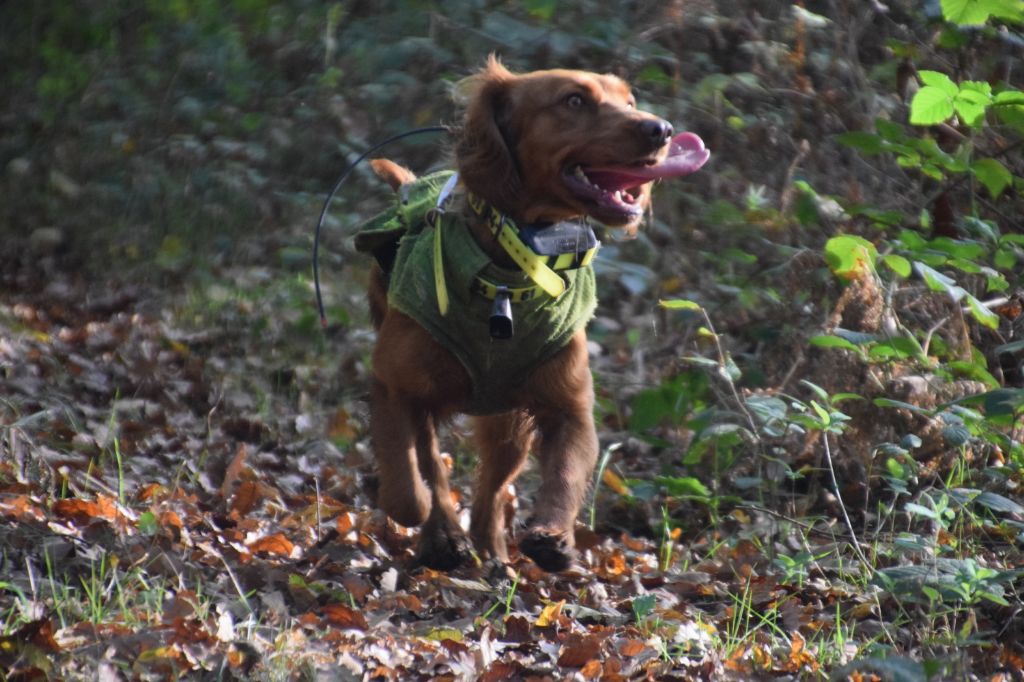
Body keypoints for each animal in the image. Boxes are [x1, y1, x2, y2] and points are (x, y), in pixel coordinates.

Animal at [356, 56, 709, 572]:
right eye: (574, 100)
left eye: (629, 101)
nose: (660, 129)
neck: (512, 269)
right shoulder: (393, 386)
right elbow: (411, 479)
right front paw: (425, 518)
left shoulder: (568, 406)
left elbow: (564, 475)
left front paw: (552, 536)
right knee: (435, 465)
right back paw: (445, 539)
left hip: (507, 423)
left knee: (492, 488)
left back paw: (493, 552)